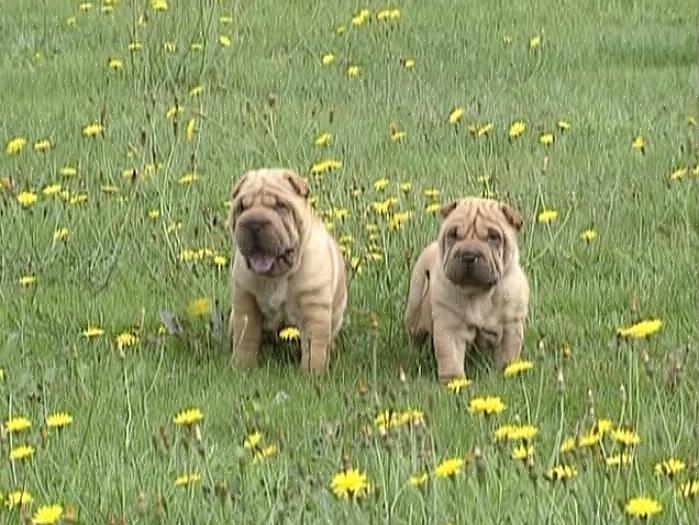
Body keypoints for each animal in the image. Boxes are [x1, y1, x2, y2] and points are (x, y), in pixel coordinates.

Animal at [227, 170, 348, 370]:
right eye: (242, 207)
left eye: (280, 206)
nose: (253, 223)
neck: (277, 276)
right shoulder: (246, 301)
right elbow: (246, 337)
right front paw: (243, 367)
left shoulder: (314, 309)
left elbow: (314, 348)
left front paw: (312, 373)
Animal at [404, 195, 532, 376]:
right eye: (453, 234)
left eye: (493, 237)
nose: (469, 255)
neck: (479, 293)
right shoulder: (449, 328)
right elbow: (450, 360)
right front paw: (455, 380)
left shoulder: (510, 325)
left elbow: (507, 354)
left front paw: (507, 371)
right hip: (415, 307)